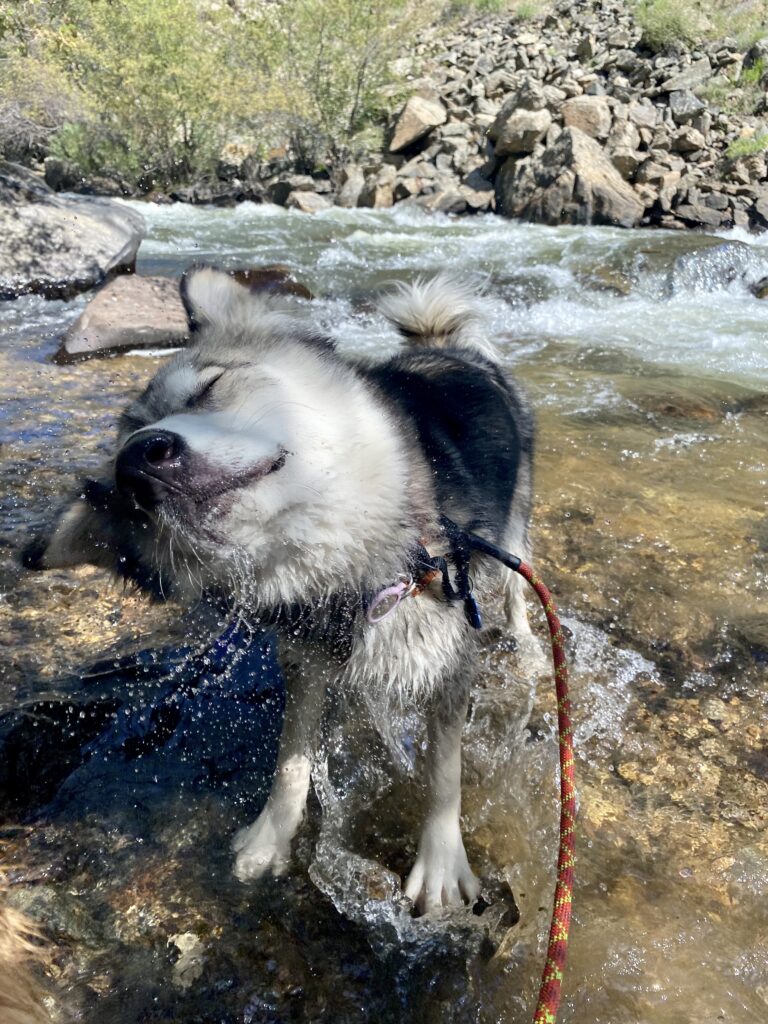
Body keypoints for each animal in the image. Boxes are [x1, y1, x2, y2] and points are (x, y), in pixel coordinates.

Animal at [28, 270, 536, 913]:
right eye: (126, 499)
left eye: (209, 388)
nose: (138, 462)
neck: (342, 567)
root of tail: (445, 346)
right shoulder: (305, 657)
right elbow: (292, 755)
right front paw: (271, 836)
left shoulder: (447, 656)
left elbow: (443, 772)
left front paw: (442, 861)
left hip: (515, 523)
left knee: (519, 583)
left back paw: (526, 641)